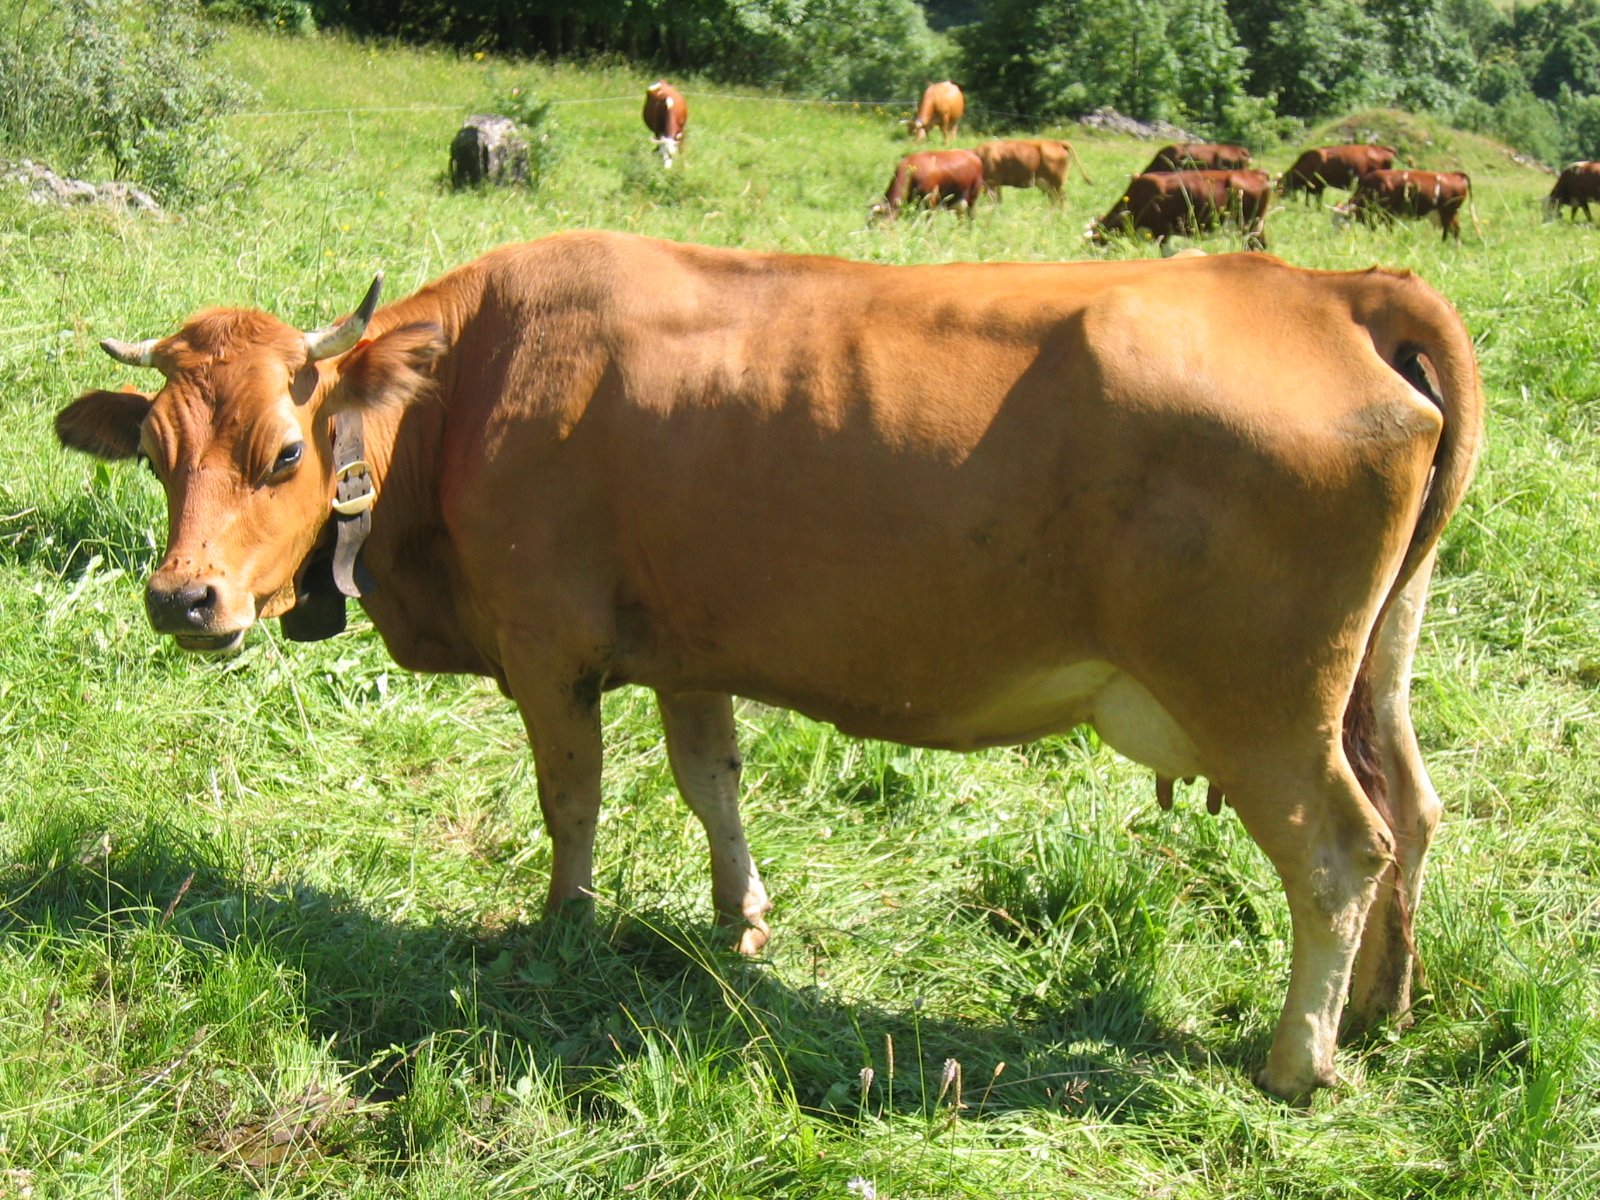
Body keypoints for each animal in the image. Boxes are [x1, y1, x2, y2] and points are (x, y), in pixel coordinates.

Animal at [62, 230, 1484, 1107]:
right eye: (156, 454)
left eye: (285, 452)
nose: (183, 599)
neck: (465, 388)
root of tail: (1330, 285)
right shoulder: (690, 643)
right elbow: (713, 782)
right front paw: (738, 919)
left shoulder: (547, 643)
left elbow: (571, 801)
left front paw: (562, 927)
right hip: (1373, 670)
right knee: (1412, 815)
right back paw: (1378, 1009)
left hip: (1260, 704)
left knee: (1340, 850)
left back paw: (1296, 1060)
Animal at [966, 140, 1094, 208]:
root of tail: (1057, 142)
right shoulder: (996, 184)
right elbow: (998, 201)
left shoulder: (991, 183)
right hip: (1048, 185)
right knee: (1054, 199)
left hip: (1057, 183)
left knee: (1061, 199)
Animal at [1337, 169, 1472, 241]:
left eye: (1342, 221)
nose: (1336, 236)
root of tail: (1454, 174)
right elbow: (1374, 227)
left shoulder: (1387, 213)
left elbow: (1388, 228)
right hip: (1450, 214)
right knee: (1456, 230)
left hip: (1447, 213)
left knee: (1449, 230)